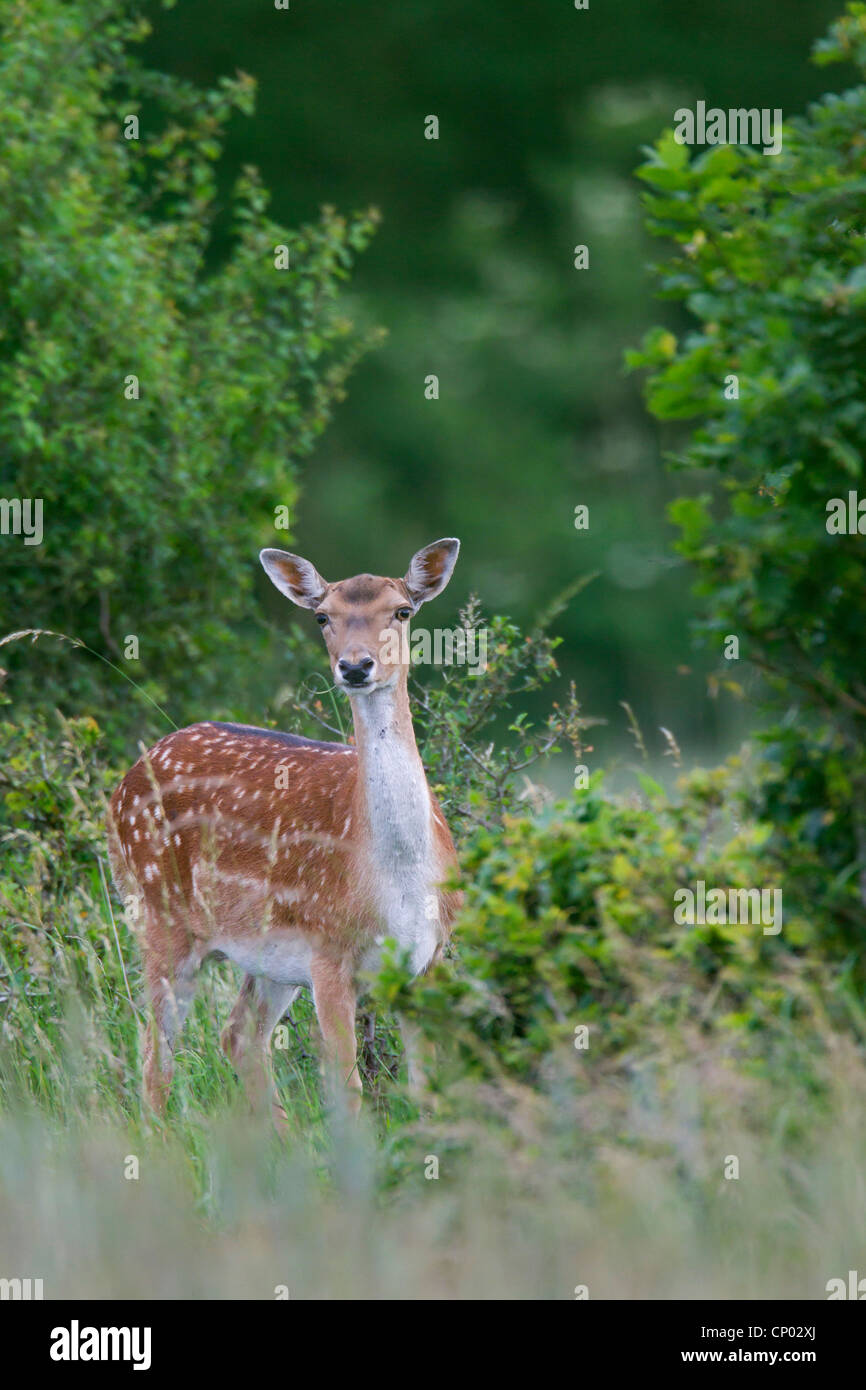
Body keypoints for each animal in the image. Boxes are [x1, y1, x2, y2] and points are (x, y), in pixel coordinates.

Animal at [108, 539, 464, 1117]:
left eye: (402, 611)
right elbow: (347, 1087)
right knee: (155, 1055)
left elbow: (429, 1091)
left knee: (237, 1034)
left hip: (268, 954)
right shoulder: (328, 952)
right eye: (323, 616)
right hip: (158, 912)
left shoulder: (427, 960)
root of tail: (124, 782)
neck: (400, 880)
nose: (355, 665)